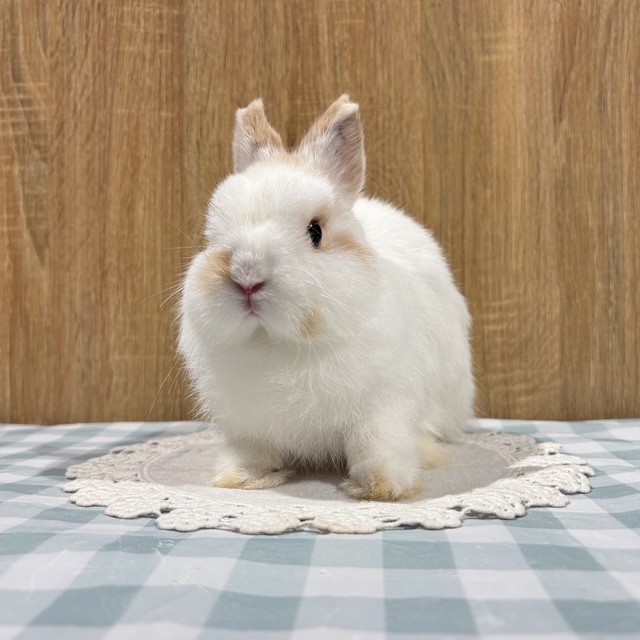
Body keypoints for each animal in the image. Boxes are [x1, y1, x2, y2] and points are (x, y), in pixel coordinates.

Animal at [178, 95, 475, 501]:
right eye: (211, 235)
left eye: (315, 231)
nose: (247, 277)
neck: (279, 345)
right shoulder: (248, 423)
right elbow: (252, 450)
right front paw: (242, 477)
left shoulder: (384, 406)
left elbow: (376, 445)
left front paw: (381, 487)